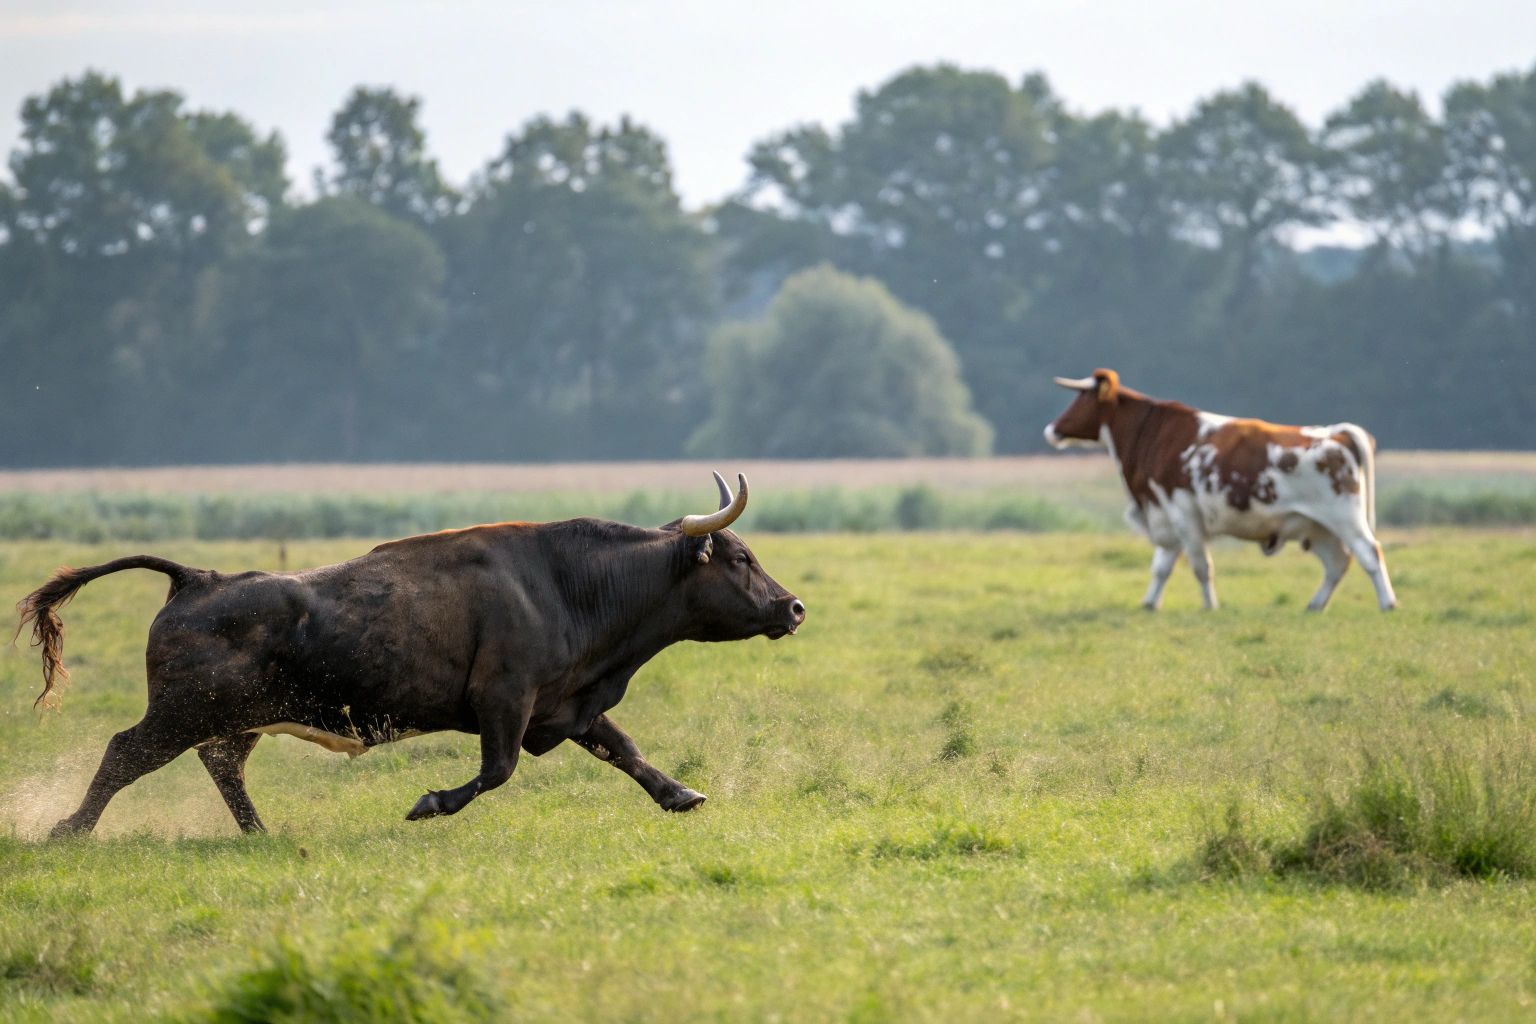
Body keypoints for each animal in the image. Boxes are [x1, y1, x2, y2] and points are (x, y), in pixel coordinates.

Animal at [14, 475, 804, 835]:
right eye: (739, 557)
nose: (793, 607)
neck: (565, 583)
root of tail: (198, 579)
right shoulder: (505, 701)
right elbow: (497, 771)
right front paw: (429, 803)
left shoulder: (565, 703)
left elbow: (626, 750)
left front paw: (681, 794)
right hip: (180, 715)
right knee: (125, 752)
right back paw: (68, 829)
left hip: (232, 721)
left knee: (222, 767)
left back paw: (260, 834)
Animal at [1044, 368, 1394, 607]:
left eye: (1081, 399)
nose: (1051, 429)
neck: (1152, 434)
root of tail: (1336, 433)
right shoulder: (1165, 513)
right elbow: (1161, 567)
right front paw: (1149, 605)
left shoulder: (1183, 513)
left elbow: (1201, 567)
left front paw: (1210, 606)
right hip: (1315, 526)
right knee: (1337, 563)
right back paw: (1314, 606)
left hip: (1344, 517)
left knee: (1369, 553)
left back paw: (1387, 604)